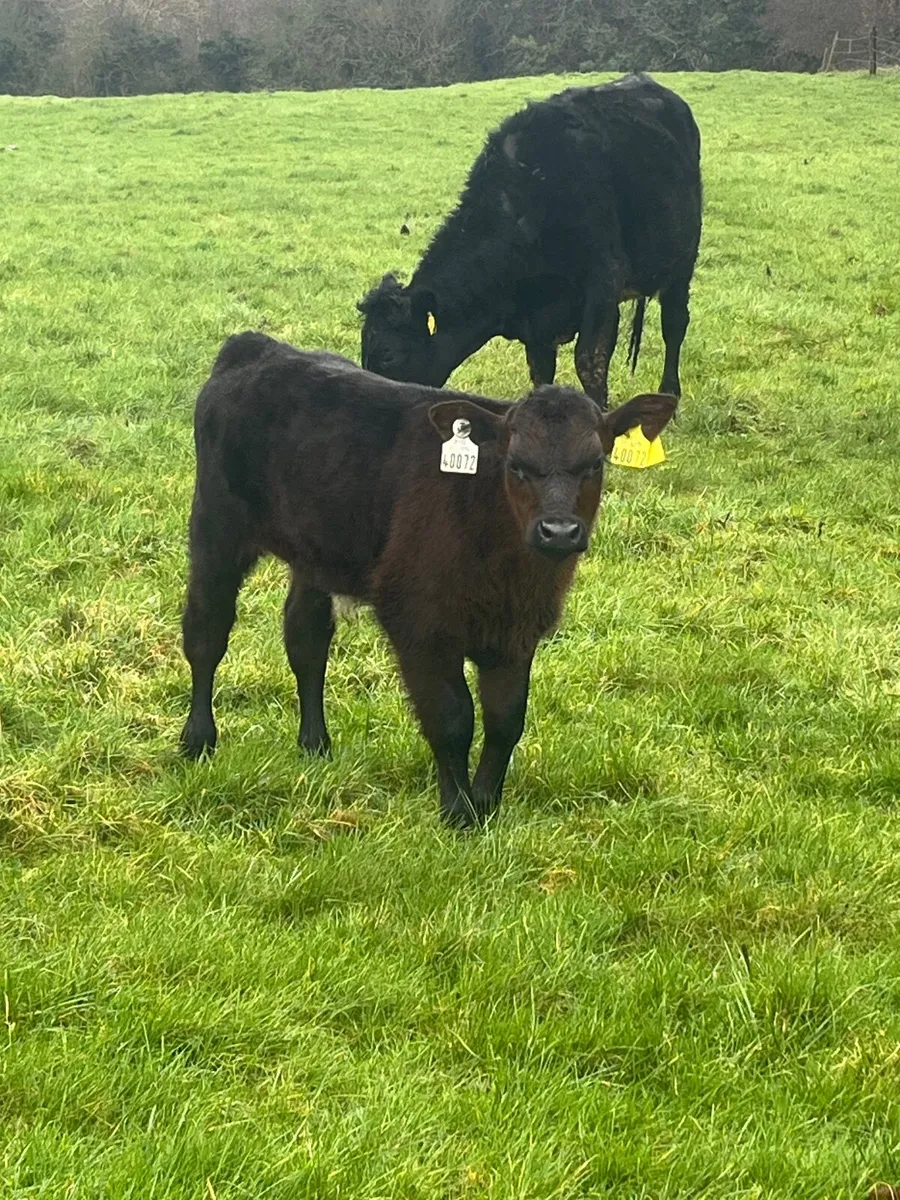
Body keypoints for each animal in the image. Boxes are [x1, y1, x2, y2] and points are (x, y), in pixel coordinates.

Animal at [179, 331, 676, 829]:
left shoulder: (517, 631)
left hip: (315, 550)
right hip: (216, 525)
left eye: (594, 464)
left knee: (306, 640)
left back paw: (315, 744)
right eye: (515, 465)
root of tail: (257, 345)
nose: (558, 531)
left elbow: (505, 719)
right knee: (207, 632)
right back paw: (198, 740)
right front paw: (458, 811)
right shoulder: (418, 622)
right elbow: (452, 717)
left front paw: (485, 805)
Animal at [359, 72, 702, 409]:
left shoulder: (603, 284)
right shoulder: (536, 324)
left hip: (683, 260)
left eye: (388, 355)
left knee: (675, 324)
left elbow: (589, 363)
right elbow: (541, 374)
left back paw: (670, 394)